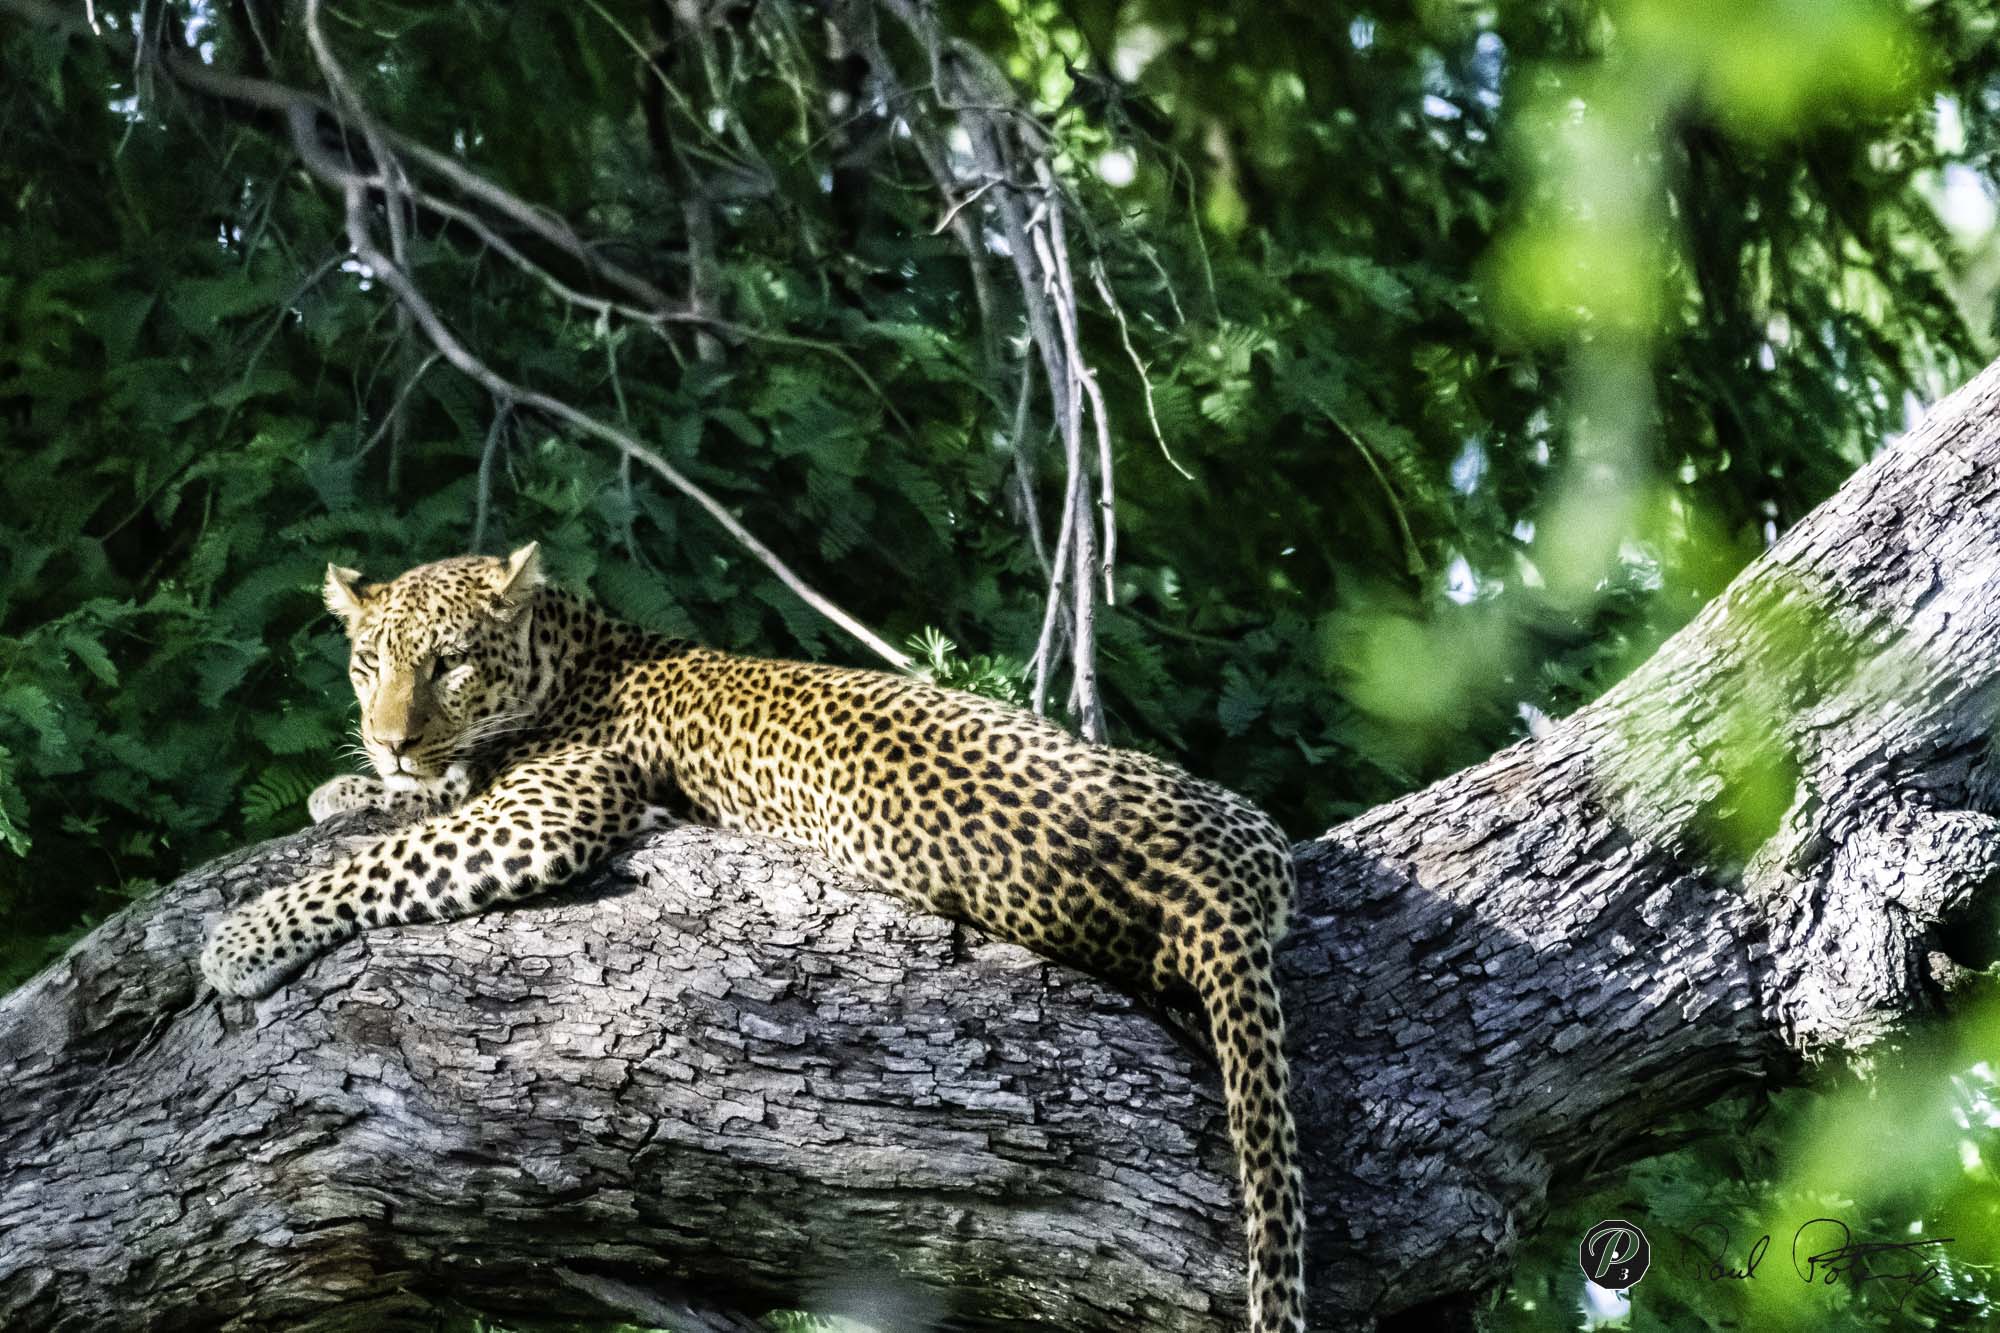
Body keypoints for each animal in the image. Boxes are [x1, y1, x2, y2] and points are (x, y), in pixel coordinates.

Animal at [199, 544, 1308, 1332]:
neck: (572, 651)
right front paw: (353, 788)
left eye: (450, 664)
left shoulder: (553, 808)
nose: (387, 738)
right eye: (366, 664)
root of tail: (1222, 883)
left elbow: (386, 859)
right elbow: (413, 809)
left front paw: (241, 937)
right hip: (1236, 816)